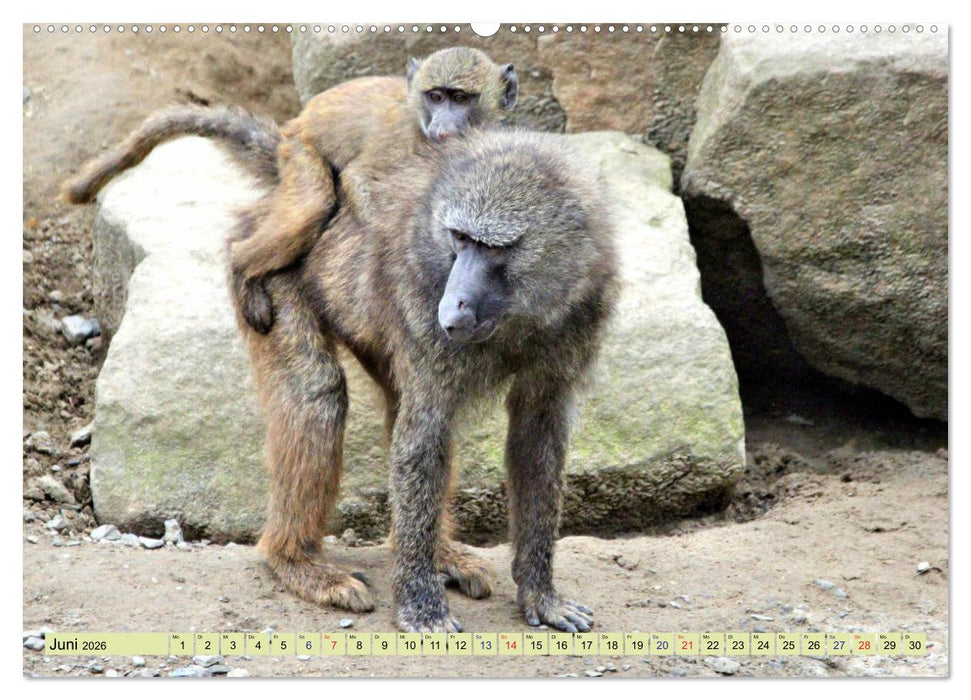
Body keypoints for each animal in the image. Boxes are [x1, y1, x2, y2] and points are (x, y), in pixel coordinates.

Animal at [61, 46, 519, 334]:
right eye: (436, 96)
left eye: (461, 98)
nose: (442, 127)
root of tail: (292, 127)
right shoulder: (400, 144)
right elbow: (359, 181)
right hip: (300, 153)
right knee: (315, 204)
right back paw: (243, 268)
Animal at [233, 127, 619, 633]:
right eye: (460, 238)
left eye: (494, 247)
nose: (452, 306)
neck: (520, 314)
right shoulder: (421, 301)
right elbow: (423, 437)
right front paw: (421, 607)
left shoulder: (584, 309)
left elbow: (537, 436)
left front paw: (541, 595)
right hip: (271, 284)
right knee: (318, 395)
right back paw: (297, 563)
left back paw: (442, 555)